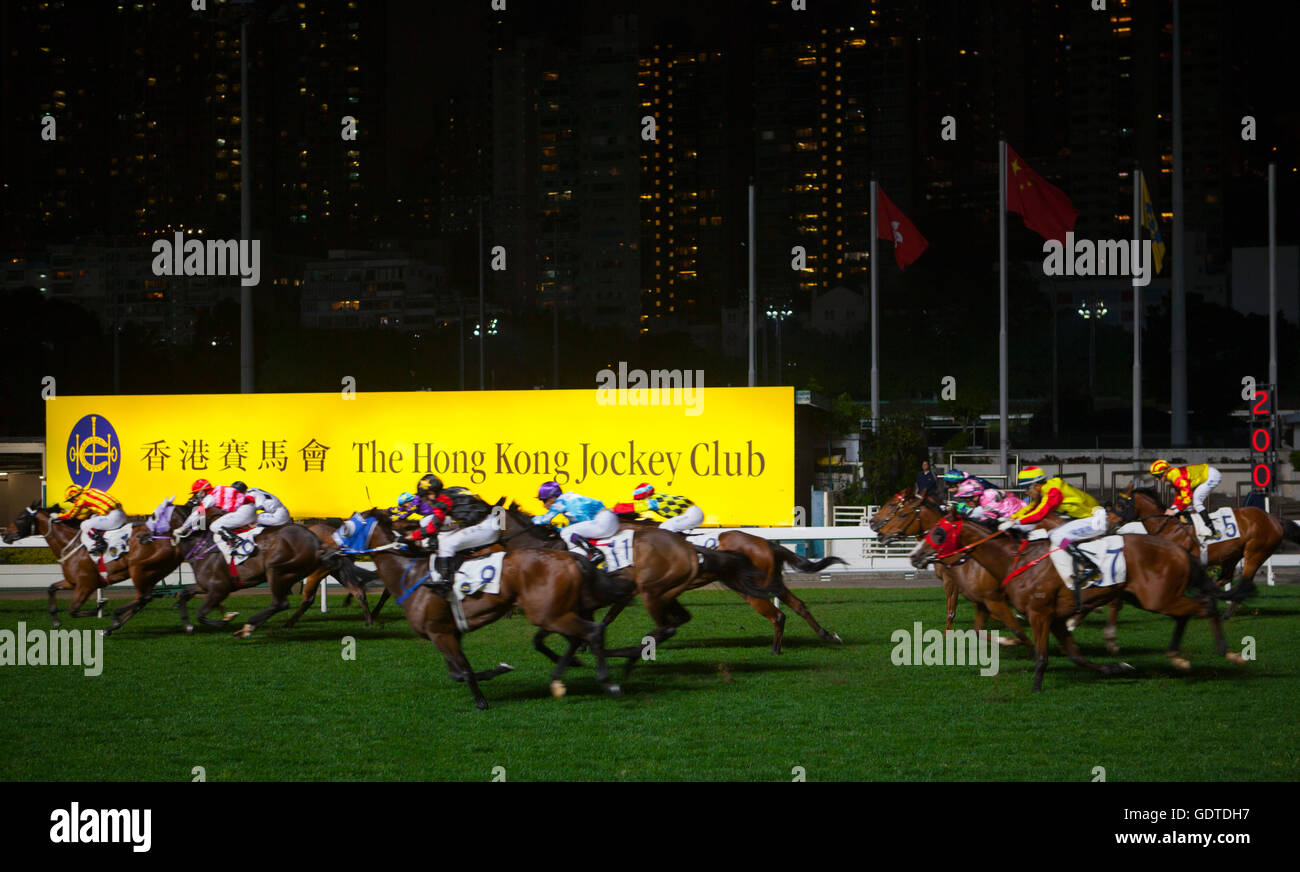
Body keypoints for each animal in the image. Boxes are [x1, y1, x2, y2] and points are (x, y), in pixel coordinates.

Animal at [322, 512, 631, 706]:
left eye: (346, 528)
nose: (324, 551)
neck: (409, 575)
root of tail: (570, 557)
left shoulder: (440, 633)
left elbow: (464, 672)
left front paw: (482, 700)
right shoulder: (447, 632)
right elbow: (458, 673)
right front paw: (499, 670)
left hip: (548, 613)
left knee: (592, 632)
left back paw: (609, 683)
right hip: (557, 612)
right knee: (581, 636)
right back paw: (566, 679)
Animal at [909, 512, 1242, 691]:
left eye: (938, 532)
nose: (914, 556)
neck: (1015, 561)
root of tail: (1178, 549)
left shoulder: (1039, 613)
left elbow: (1042, 653)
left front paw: (1036, 685)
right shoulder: (1054, 617)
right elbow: (1075, 655)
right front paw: (1115, 668)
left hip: (1157, 598)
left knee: (1205, 606)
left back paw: (1228, 653)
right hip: (1151, 597)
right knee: (1187, 613)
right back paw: (1177, 657)